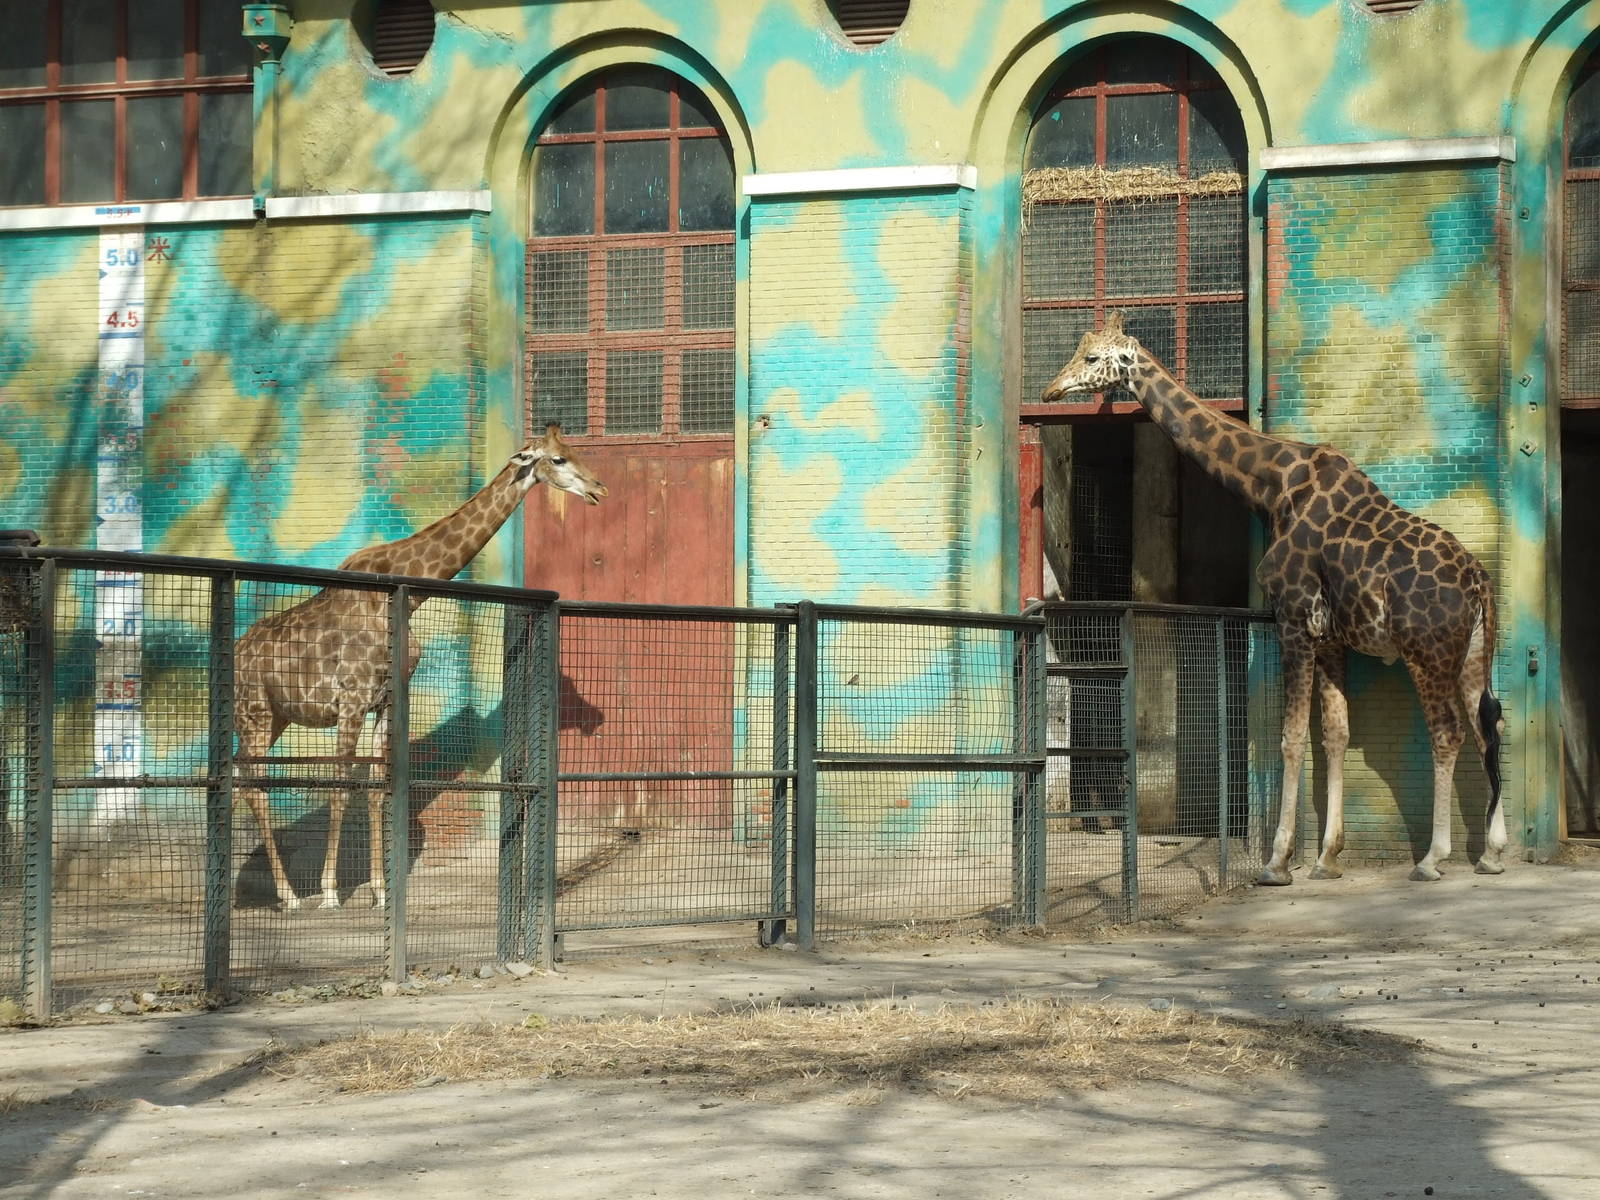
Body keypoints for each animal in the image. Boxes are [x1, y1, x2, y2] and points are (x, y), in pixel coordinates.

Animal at [234, 425, 606, 911]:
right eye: (558, 459)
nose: (599, 488)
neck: (407, 598)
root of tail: (234, 654)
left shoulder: (386, 699)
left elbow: (378, 786)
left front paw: (379, 891)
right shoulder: (351, 698)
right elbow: (340, 786)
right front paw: (331, 891)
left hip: (275, 717)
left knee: (238, 776)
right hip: (255, 712)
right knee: (252, 783)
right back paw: (291, 897)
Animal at [1041, 313, 1507, 884]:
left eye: (1091, 358)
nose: (1051, 390)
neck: (1273, 484)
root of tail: (1479, 579)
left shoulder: (1292, 617)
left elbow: (1289, 737)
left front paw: (1277, 861)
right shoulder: (1330, 637)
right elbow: (1335, 733)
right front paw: (1327, 858)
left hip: (1428, 653)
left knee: (1447, 733)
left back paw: (1432, 859)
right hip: (1474, 653)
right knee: (1489, 726)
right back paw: (1491, 853)